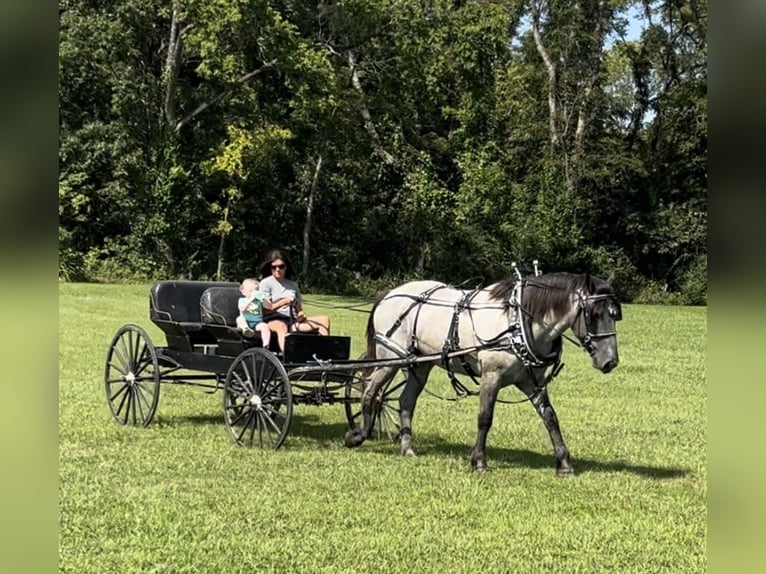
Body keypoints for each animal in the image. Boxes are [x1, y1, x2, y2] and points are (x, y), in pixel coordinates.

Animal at [346, 272, 624, 474]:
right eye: (594, 314)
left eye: (615, 315)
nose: (610, 361)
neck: (517, 321)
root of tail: (390, 294)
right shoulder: (492, 376)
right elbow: (485, 418)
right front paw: (479, 461)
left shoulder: (531, 381)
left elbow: (550, 418)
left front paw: (564, 463)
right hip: (389, 357)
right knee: (370, 392)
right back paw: (358, 435)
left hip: (420, 364)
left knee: (406, 401)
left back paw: (407, 448)